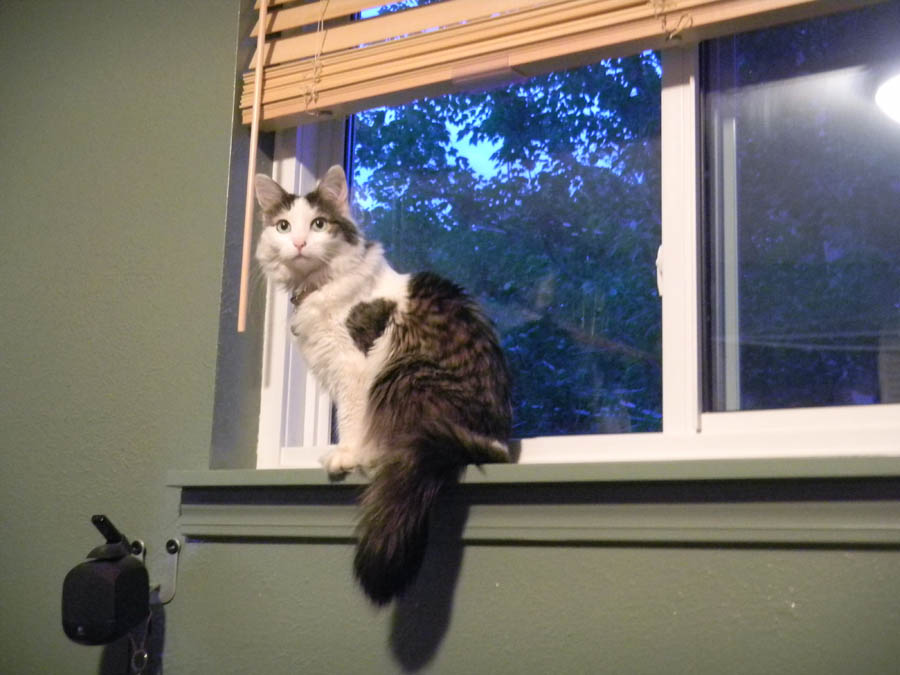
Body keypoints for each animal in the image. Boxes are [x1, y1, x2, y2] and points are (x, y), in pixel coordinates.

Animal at [254, 165, 512, 605]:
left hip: (403, 375)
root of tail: (493, 443)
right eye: (283, 226)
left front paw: (346, 455)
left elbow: (352, 420)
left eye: (319, 224)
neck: (318, 287)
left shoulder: (353, 368)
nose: (300, 243)